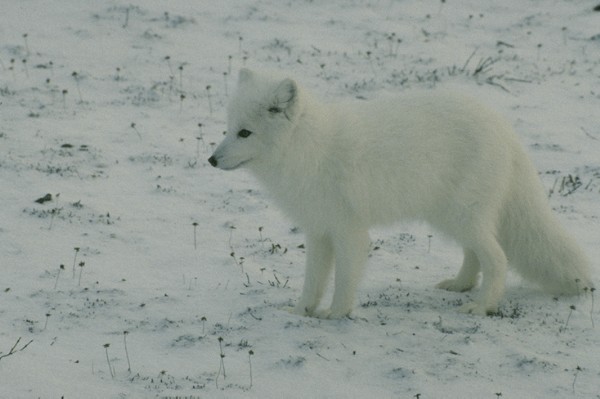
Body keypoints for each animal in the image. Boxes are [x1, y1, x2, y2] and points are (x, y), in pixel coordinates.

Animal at [209, 68, 592, 318]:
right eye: (228, 129)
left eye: (245, 133)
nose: (211, 160)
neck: (309, 148)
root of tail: (505, 130)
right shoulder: (318, 231)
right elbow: (312, 280)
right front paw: (300, 311)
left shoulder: (348, 231)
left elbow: (344, 279)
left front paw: (335, 315)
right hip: (452, 217)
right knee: (474, 254)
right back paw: (460, 285)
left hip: (464, 216)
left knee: (497, 259)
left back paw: (482, 305)